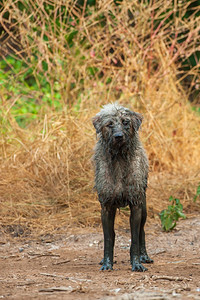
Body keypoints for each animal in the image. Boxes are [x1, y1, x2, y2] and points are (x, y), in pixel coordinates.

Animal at [92, 103, 153, 272]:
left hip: (144, 209)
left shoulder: (136, 205)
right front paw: (107, 263)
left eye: (125, 122)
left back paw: (144, 256)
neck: (119, 158)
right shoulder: (106, 207)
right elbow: (108, 238)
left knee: (142, 232)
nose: (119, 136)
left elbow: (135, 238)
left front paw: (137, 263)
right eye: (109, 124)